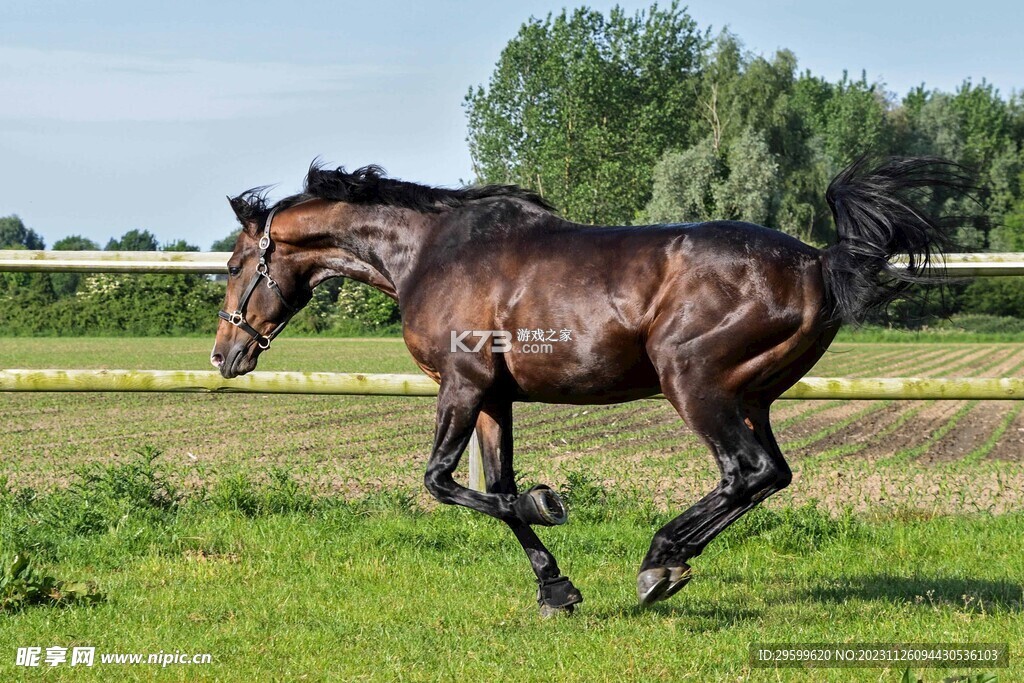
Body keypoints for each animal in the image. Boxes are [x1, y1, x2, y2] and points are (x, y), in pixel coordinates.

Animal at [211, 156, 966, 615]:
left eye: (236, 263)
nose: (224, 354)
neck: (428, 253)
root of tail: (818, 260)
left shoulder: (461, 384)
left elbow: (443, 482)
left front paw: (551, 504)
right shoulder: (495, 396)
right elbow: (497, 490)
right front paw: (556, 588)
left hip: (693, 382)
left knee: (745, 472)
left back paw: (659, 563)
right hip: (752, 396)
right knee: (769, 474)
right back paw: (668, 560)